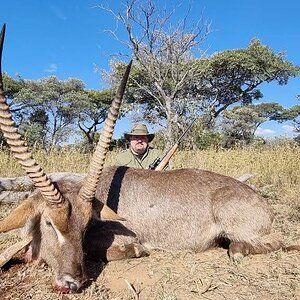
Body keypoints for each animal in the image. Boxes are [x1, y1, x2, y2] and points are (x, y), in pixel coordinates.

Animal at [0, 24, 300, 294]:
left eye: (85, 226)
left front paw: (135, 250)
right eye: (49, 223)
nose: (70, 283)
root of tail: (262, 202)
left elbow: (111, 249)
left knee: (274, 241)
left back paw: (237, 250)